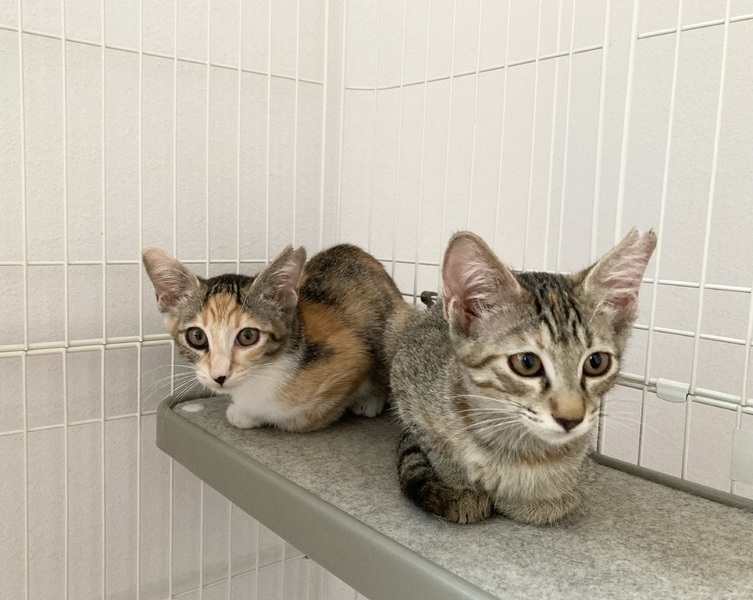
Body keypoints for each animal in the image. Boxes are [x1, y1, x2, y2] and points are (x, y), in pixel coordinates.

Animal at [386, 228, 656, 525]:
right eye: (527, 363)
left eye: (596, 362)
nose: (571, 419)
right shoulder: (407, 380)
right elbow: (435, 445)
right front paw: (461, 488)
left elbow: (560, 500)